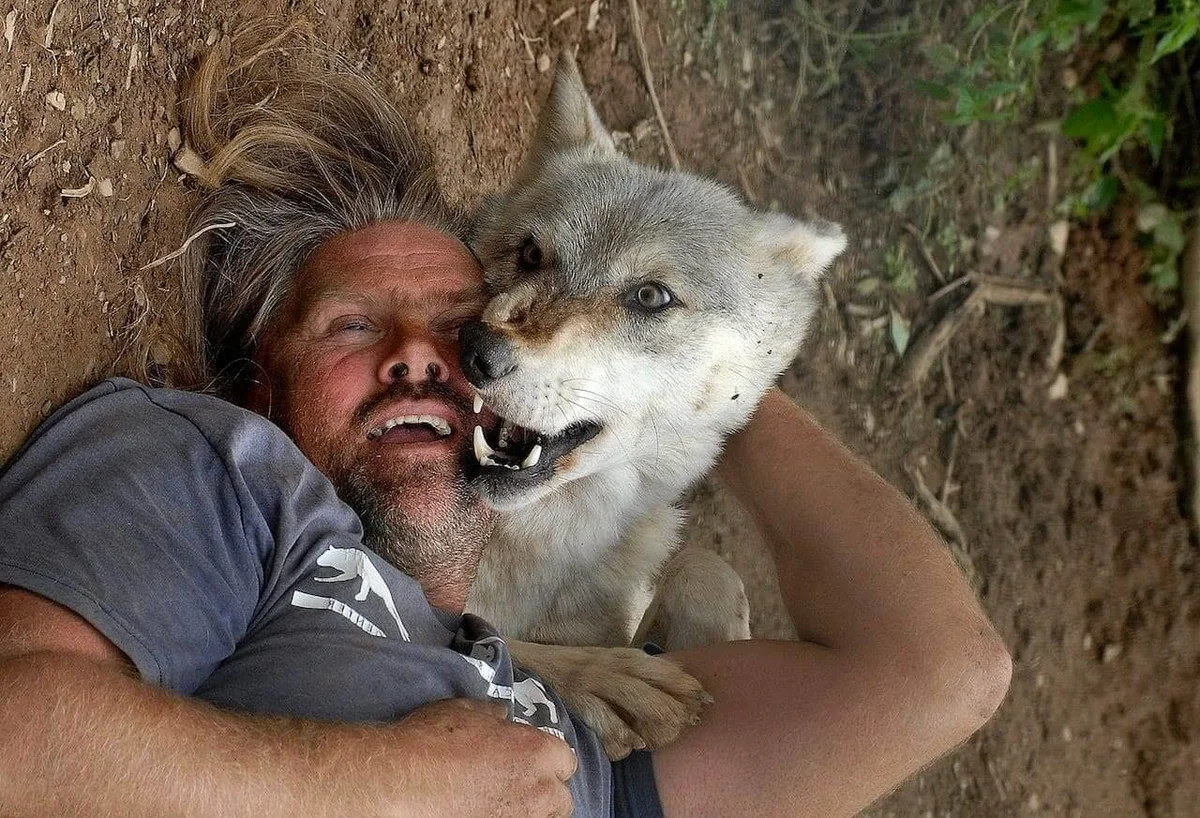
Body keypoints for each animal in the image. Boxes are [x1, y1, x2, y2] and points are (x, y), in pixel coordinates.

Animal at [456, 55, 844, 758]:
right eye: (529, 253)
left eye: (651, 296)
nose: (475, 350)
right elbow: (500, 649)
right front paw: (600, 679)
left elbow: (706, 571)